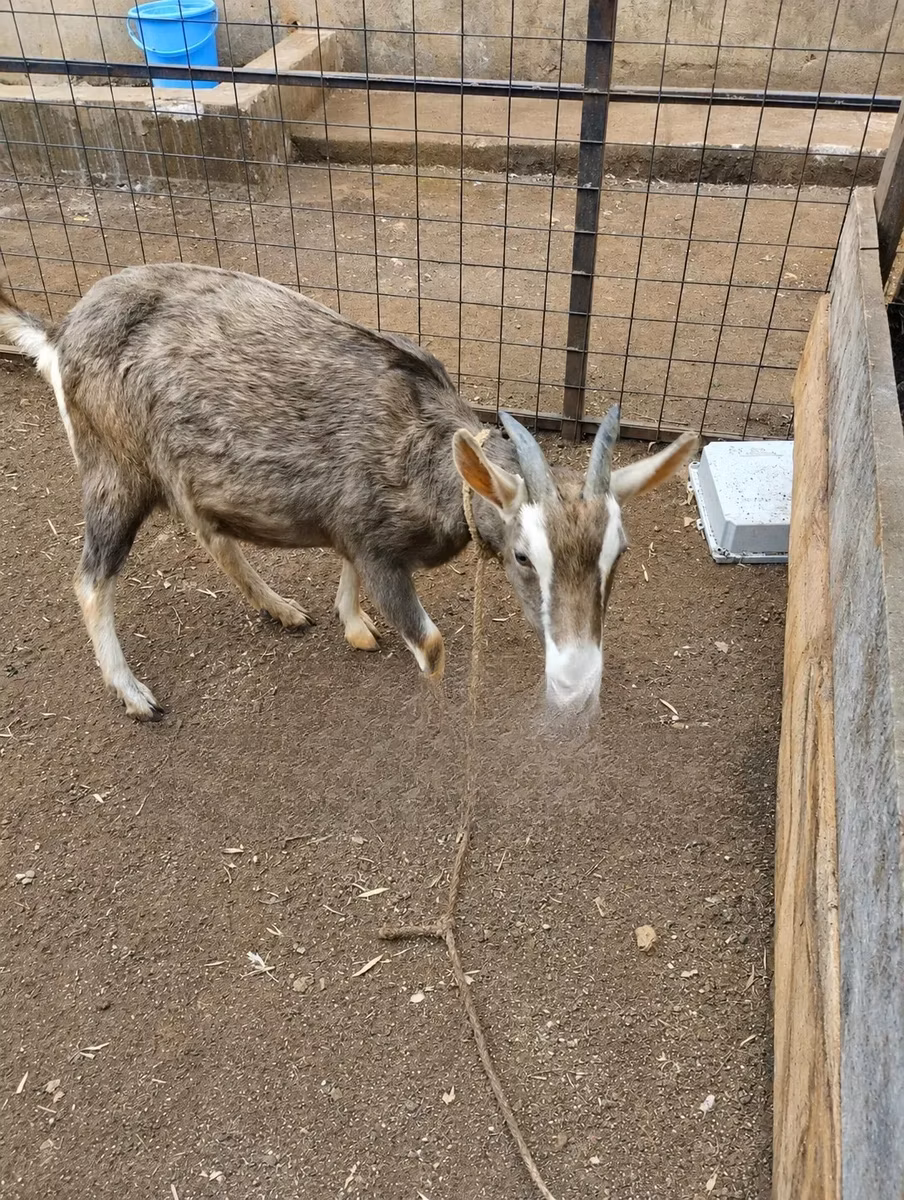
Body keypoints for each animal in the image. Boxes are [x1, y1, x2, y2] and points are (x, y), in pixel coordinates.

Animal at [1, 264, 697, 720]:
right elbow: (432, 643)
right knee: (91, 580)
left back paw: (281, 609)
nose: (577, 677)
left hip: (181, 476)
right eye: (524, 556)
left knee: (212, 536)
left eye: (617, 553)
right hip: (112, 470)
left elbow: (346, 568)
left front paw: (353, 626)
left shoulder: (360, 535)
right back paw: (135, 695)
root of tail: (60, 334)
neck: (429, 451)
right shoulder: (379, 547)